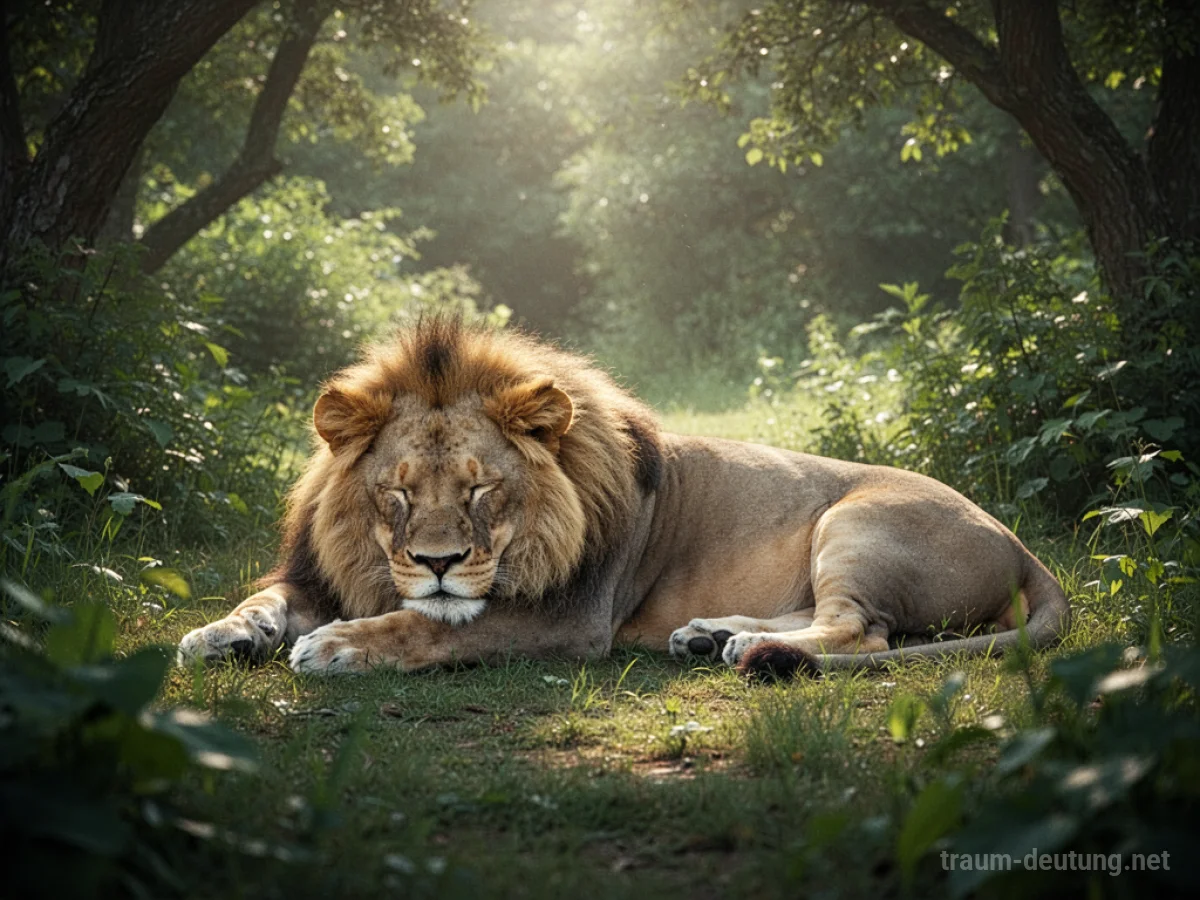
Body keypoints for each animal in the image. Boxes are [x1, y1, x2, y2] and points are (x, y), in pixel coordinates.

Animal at [179, 318, 1070, 678]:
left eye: (482, 489)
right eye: (395, 496)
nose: (437, 563)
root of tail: (1025, 546)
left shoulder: (568, 617)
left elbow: (432, 627)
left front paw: (338, 646)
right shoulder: (318, 572)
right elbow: (262, 601)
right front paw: (219, 635)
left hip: (854, 520)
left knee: (863, 629)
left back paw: (747, 648)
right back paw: (712, 633)